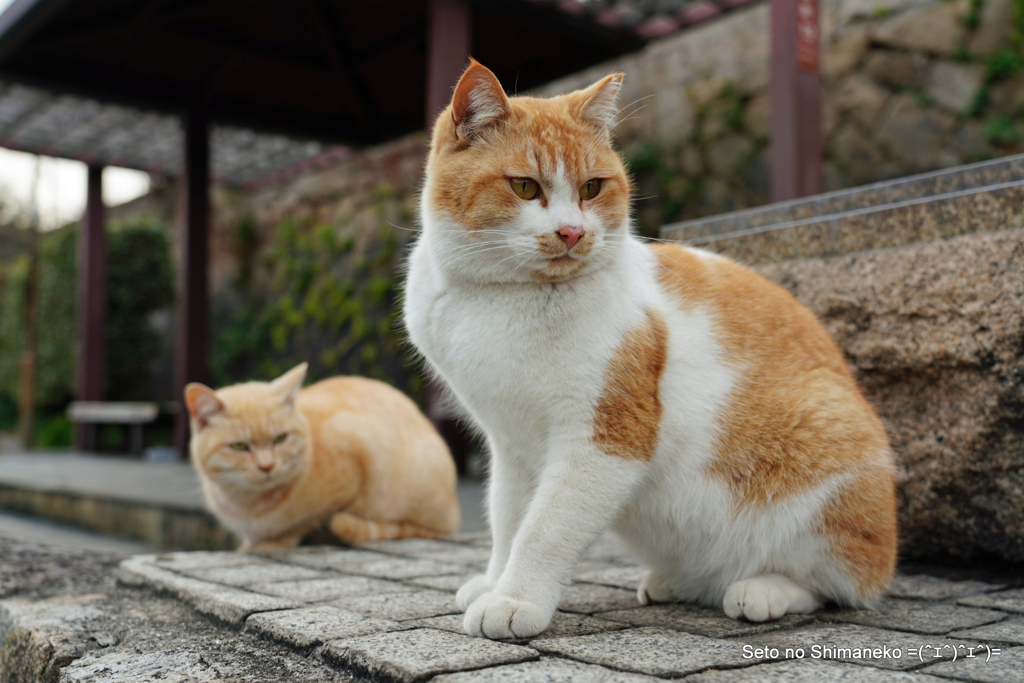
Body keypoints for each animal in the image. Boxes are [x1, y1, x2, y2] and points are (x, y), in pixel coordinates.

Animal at [184, 366, 460, 552]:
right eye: (239, 446)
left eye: (280, 439)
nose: (267, 466)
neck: (246, 504)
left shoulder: (347, 478)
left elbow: (301, 524)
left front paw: (273, 543)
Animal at [401, 60, 897, 643]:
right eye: (524, 187)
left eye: (592, 187)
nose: (571, 232)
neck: (502, 297)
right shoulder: (510, 443)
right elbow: (507, 520)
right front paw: (493, 581)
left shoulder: (603, 440)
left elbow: (543, 529)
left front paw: (514, 600)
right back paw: (673, 582)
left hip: (825, 445)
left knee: (839, 583)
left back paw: (762, 589)